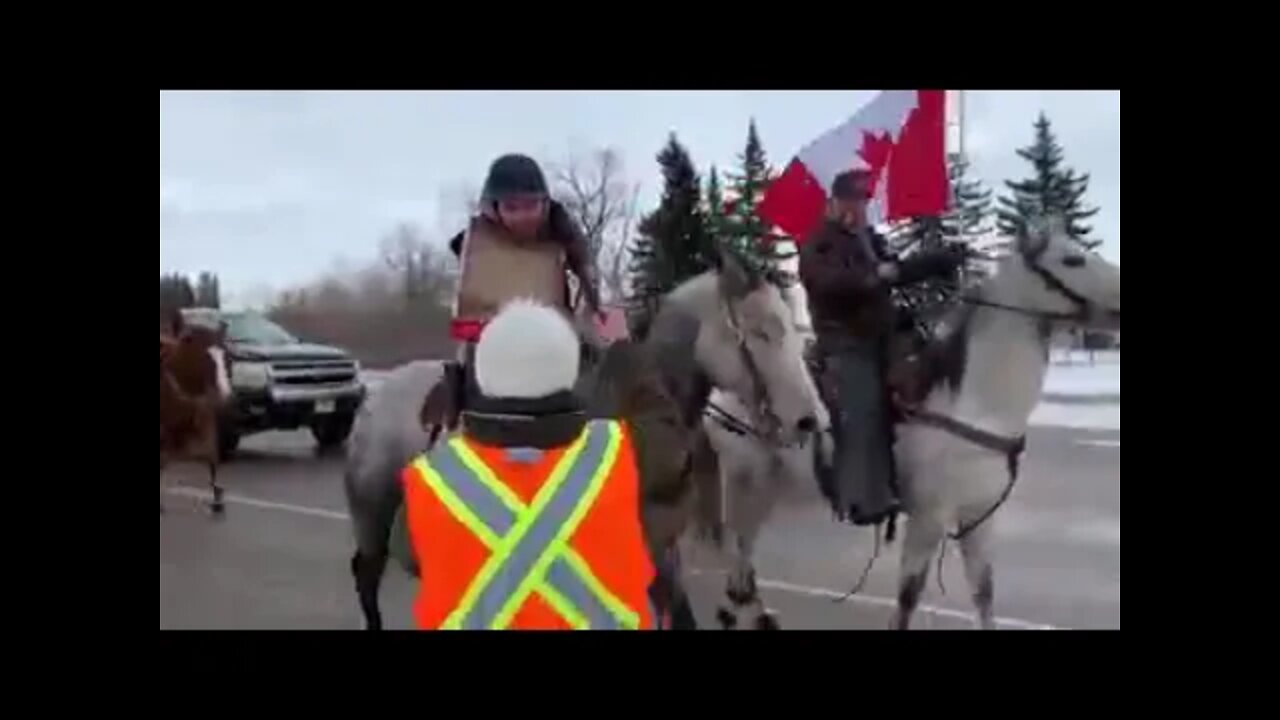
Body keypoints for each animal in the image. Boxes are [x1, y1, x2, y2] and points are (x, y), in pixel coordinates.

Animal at [701, 217, 1121, 627]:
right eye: (1072, 260)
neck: (973, 404)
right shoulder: (927, 519)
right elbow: (908, 599)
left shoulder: (979, 518)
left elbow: (984, 595)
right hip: (745, 483)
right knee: (737, 550)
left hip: (765, 487)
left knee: (744, 553)